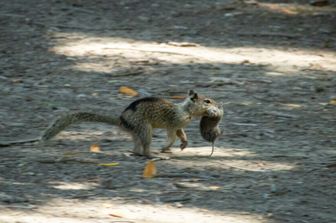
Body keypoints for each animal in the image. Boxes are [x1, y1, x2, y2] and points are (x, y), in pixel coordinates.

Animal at [1, 89, 226, 158]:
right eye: (207, 101)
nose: (219, 105)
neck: (186, 110)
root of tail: (121, 120)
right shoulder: (172, 123)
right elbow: (171, 134)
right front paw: (167, 147)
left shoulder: (179, 125)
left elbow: (181, 134)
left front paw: (183, 144)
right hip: (145, 129)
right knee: (144, 148)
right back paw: (153, 155)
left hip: (138, 132)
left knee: (136, 148)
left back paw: (139, 153)